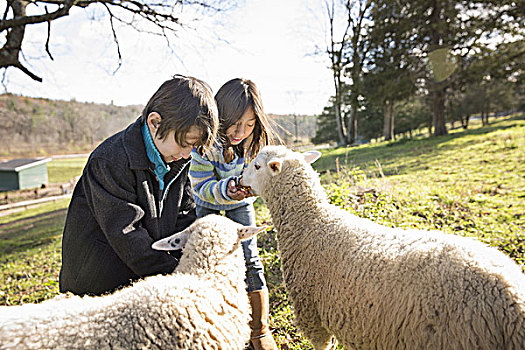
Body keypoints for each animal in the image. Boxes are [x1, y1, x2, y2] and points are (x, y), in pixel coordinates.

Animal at [241, 145, 524, 350]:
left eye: (256, 165)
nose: (239, 178)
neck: (311, 222)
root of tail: (512, 300)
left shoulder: (312, 315)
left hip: (457, 338)